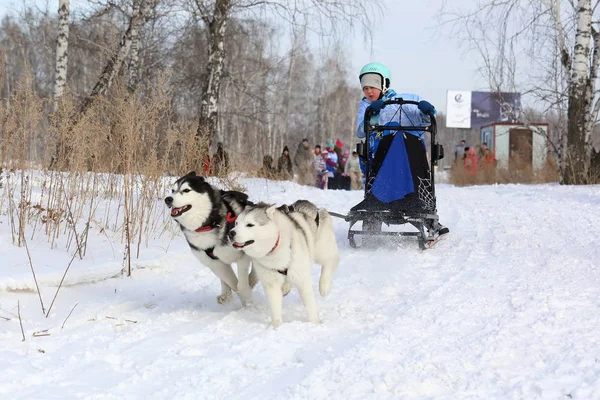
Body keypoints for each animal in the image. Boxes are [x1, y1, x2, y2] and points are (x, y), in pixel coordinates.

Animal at [165, 170, 256, 304]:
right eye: (173, 190)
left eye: (186, 190)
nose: (167, 199)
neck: (207, 225)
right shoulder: (214, 262)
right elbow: (232, 282)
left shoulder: (242, 254)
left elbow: (241, 283)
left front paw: (247, 299)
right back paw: (225, 294)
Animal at [229, 200, 340, 328]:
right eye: (236, 223)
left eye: (250, 225)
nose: (231, 233)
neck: (275, 247)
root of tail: (310, 205)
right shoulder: (271, 285)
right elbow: (275, 310)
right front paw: (277, 327)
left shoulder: (302, 280)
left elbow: (310, 306)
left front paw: (315, 324)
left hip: (321, 250)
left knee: (329, 261)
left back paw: (324, 286)